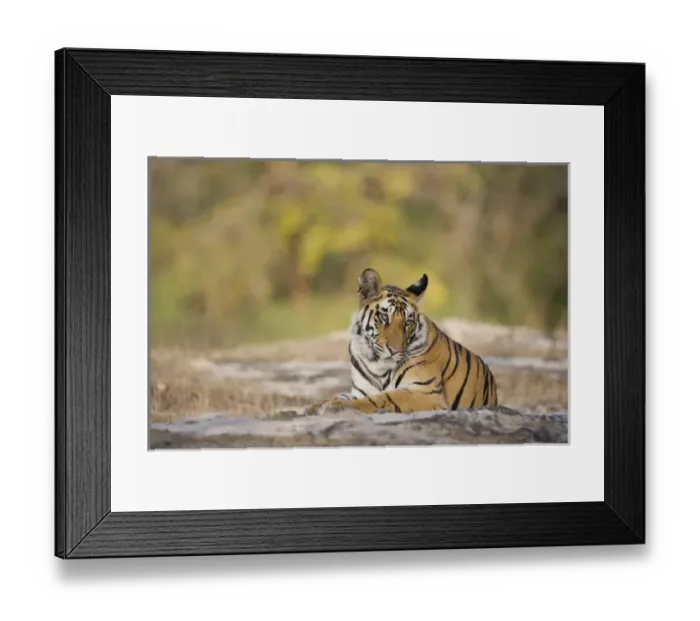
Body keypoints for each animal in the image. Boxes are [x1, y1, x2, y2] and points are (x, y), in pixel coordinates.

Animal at [309, 268, 498, 416]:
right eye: (384, 317)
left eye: (407, 322)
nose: (395, 350)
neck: (376, 362)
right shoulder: (361, 390)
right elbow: (342, 395)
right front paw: (317, 406)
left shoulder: (426, 391)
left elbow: (381, 398)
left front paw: (336, 407)